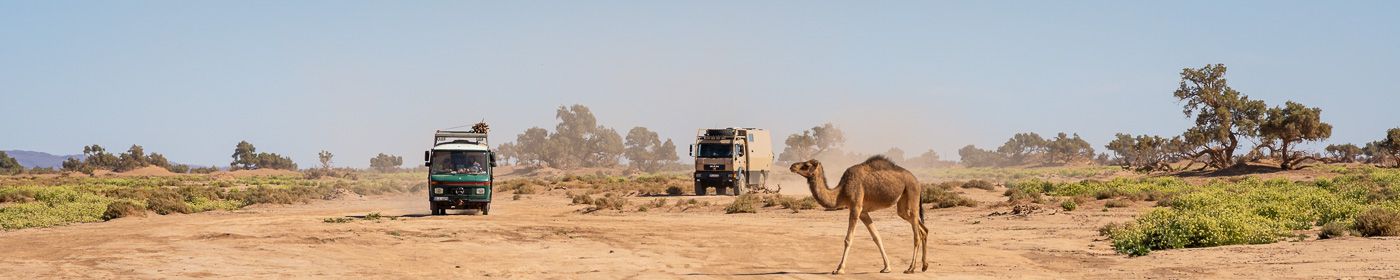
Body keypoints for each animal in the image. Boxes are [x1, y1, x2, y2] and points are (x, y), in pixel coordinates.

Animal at [789, 156, 929, 274]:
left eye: (806, 165)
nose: (792, 166)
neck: (841, 192)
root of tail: (918, 182)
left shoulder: (855, 207)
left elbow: (848, 239)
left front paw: (839, 269)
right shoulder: (863, 212)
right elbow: (876, 237)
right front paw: (887, 267)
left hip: (911, 194)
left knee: (916, 235)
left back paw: (910, 268)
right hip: (902, 206)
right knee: (923, 229)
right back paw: (924, 266)